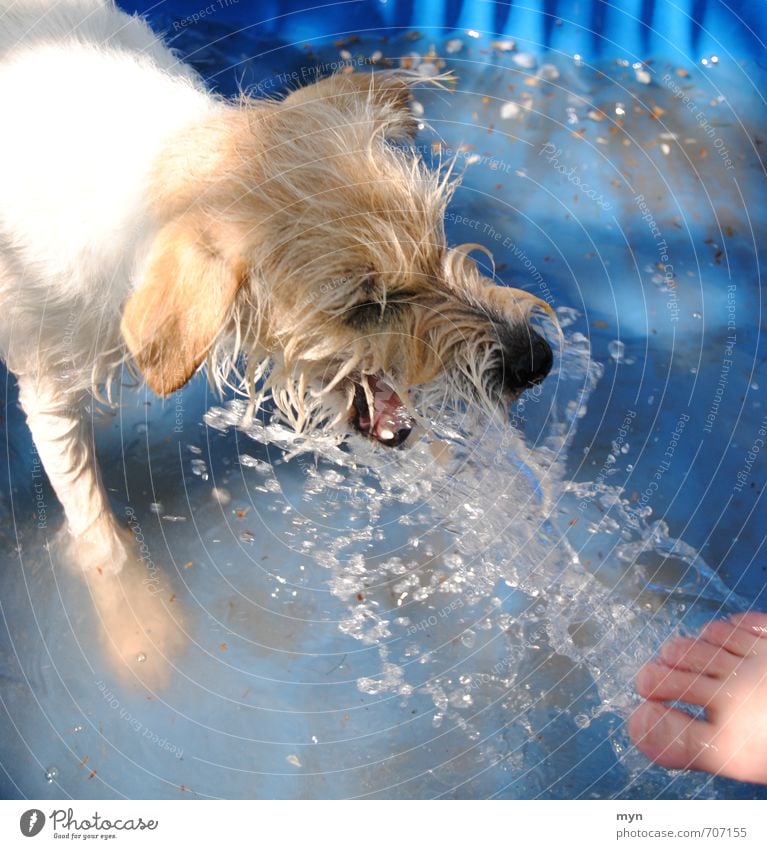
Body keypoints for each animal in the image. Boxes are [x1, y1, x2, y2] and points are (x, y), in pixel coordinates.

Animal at [0, 0, 552, 684]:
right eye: (365, 304)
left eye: (438, 234)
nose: (537, 361)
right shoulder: (49, 374)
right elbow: (90, 514)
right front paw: (135, 621)